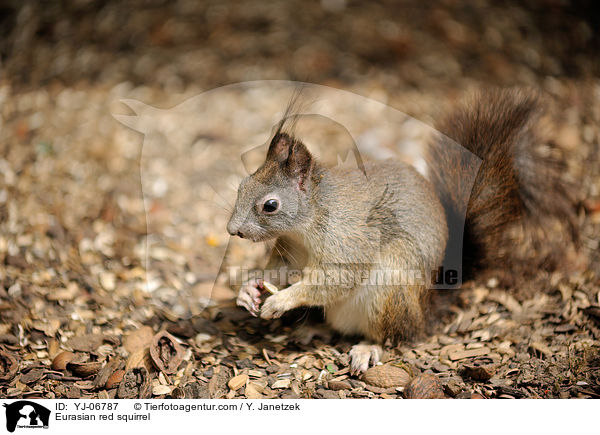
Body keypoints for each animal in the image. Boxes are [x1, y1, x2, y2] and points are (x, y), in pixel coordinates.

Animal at [225, 88, 576, 374]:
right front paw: (249, 288)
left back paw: (368, 347)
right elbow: (281, 270)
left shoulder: (348, 240)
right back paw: (314, 330)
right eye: (242, 186)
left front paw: (280, 301)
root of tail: (425, 308)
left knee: (395, 336)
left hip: (389, 290)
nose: (233, 231)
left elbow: (335, 279)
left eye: (271, 205)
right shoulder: (291, 249)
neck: (308, 223)